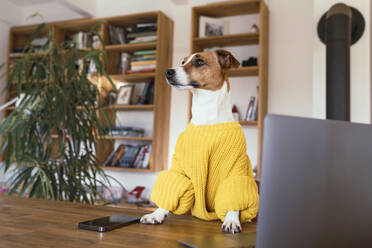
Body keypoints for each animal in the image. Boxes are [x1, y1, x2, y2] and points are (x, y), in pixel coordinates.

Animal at [140, 49, 258, 233]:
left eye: (199, 62)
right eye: (183, 61)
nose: (167, 72)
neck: (207, 117)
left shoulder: (235, 166)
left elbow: (233, 195)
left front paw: (232, 220)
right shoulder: (180, 167)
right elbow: (172, 187)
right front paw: (157, 214)